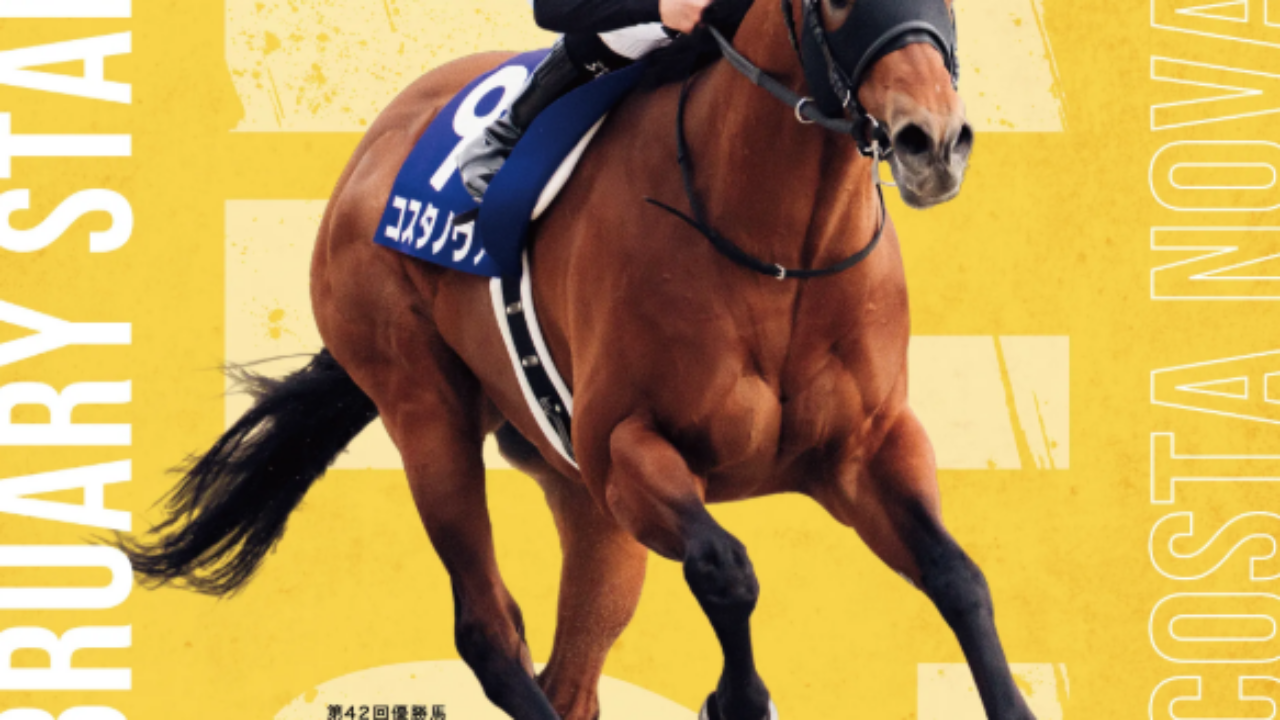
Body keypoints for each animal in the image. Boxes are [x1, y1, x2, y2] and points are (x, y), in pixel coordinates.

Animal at [122, 0, 1036, 718]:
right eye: (837, 0)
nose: (933, 140)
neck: (778, 249)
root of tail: (372, 147)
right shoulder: (627, 445)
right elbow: (727, 570)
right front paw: (737, 698)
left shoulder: (867, 448)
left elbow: (959, 577)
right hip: (425, 411)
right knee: (489, 630)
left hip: (578, 495)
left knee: (571, 672)